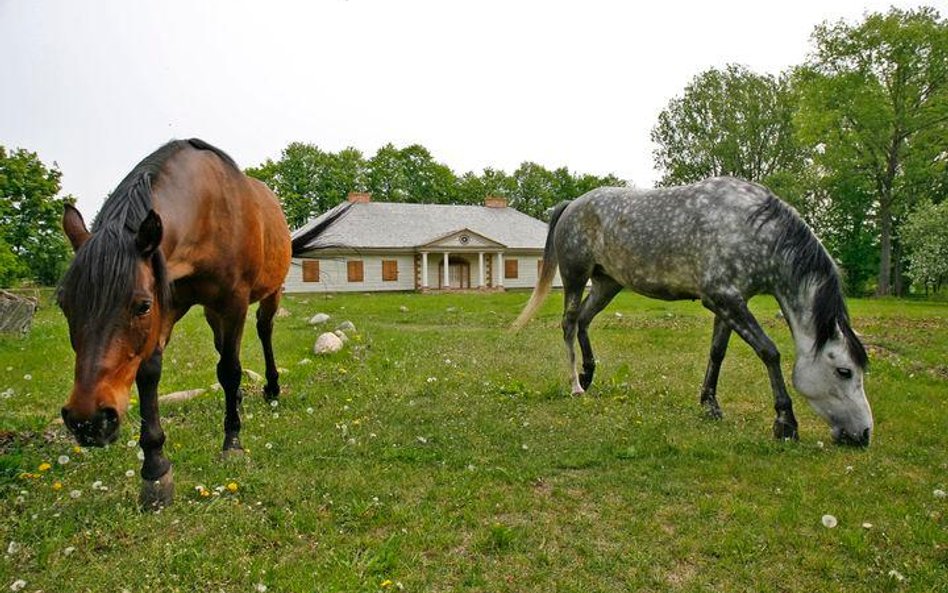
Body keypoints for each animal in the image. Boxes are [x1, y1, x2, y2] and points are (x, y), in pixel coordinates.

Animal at [59, 136, 314, 506]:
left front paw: (232, 443)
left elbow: (230, 370)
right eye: (64, 304)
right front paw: (155, 470)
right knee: (223, 346)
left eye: (142, 306)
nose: (88, 421)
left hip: (268, 293)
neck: (209, 212)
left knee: (263, 331)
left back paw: (271, 388)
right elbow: (150, 373)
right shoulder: (171, 302)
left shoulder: (232, 301)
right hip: (212, 312)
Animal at [520, 178, 872, 446]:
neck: (754, 228)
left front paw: (710, 405)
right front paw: (785, 422)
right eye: (844, 371)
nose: (865, 434)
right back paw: (575, 385)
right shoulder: (724, 299)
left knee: (583, 321)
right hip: (576, 277)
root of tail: (572, 204)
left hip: (607, 284)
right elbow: (769, 352)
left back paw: (588, 374)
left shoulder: (730, 302)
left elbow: (717, 352)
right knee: (568, 324)